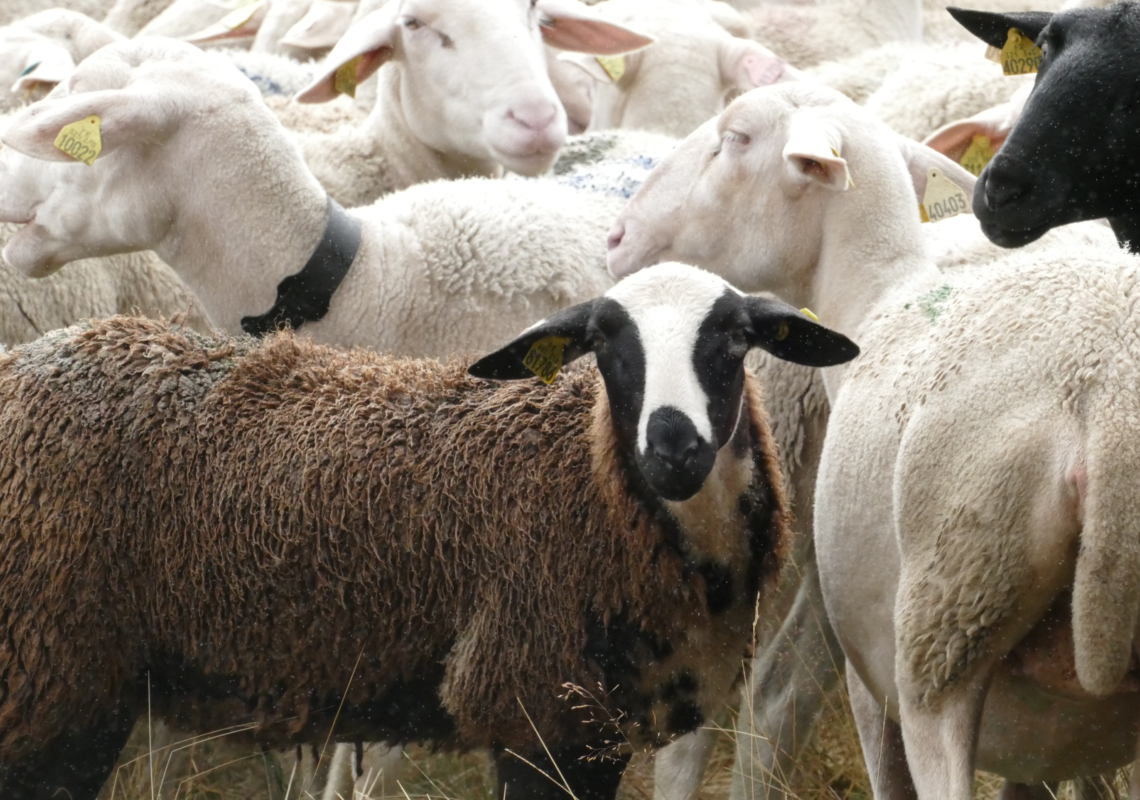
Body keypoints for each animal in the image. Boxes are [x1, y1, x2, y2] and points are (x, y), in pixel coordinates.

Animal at [0, 262, 857, 800]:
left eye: (737, 338)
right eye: (605, 343)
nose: (672, 447)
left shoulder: (604, 731)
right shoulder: (534, 714)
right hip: (50, 679)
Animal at [615, 79, 1140, 800]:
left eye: (736, 139)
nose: (617, 238)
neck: (880, 300)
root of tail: (1106, 407)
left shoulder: (870, 670)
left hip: (941, 635)